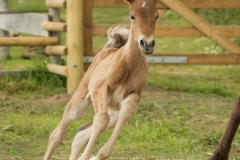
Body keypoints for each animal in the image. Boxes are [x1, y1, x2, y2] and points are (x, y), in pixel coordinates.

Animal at [43, 0, 159, 159]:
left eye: (157, 16)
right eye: (132, 16)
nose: (147, 44)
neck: (128, 64)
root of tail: (108, 49)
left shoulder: (133, 95)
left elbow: (127, 112)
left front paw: (96, 155)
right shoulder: (100, 89)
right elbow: (101, 120)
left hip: (113, 112)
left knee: (81, 133)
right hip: (80, 100)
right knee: (58, 133)